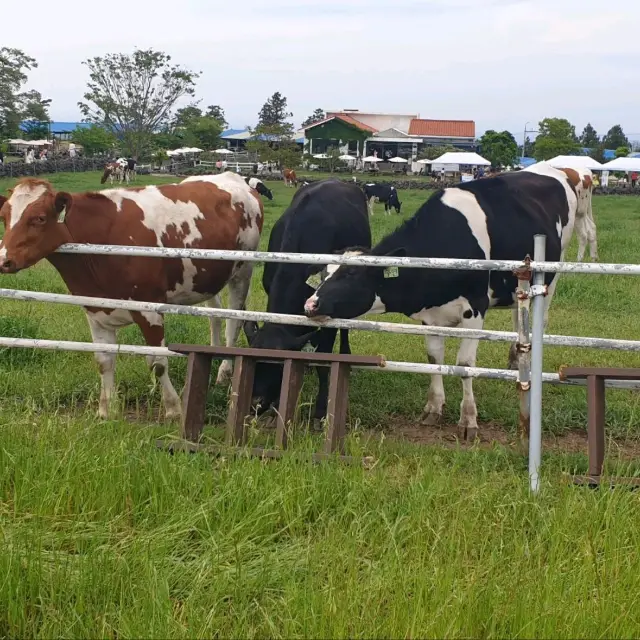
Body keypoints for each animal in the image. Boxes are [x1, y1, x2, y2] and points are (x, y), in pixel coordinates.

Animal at [0, 170, 264, 420]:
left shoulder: (150, 309)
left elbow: (157, 362)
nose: (4, 260)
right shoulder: (95, 310)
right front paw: (106, 410)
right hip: (207, 279)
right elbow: (103, 361)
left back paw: (225, 371)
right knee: (215, 316)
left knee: (233, 322)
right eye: (4, 217)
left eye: (39, 218)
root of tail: (233, 177)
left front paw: (173, 408)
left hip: (243, 271)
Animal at [304, 162, 580, 440]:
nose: (310, 305)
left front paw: (468, 420)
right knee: (517, 317)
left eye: (351, 273)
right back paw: (515, 358)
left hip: (551, 275)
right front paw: (434, 408)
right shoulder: (431, 315)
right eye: (324, 274)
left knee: (541, 318)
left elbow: (465, 364)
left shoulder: (475, 309)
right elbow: (434, 359)